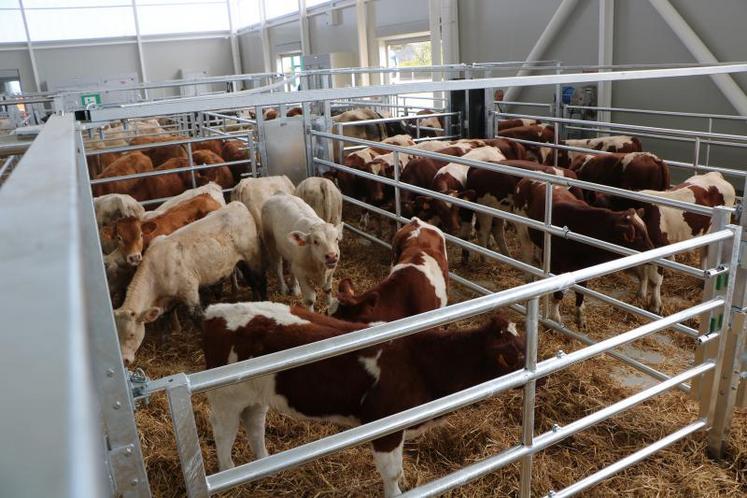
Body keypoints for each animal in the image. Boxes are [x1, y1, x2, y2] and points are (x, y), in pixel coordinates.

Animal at [109, 200, 264, 364]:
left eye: (131, 334)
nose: (125, 360)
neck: (156, 270)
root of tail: (236, 204)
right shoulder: (167, 299)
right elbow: (165, 317)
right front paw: (165, 341)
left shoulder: (189, 290)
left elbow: (197, 317)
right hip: (241, 261)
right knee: (252, 281)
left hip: (253, 255)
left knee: (260, 280)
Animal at [202, 304, 524, 498]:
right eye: (514, 356)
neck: (421, 360)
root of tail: (216, 310)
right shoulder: (385, 427)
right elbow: (392, 473)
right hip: (226, 398)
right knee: (224, 432)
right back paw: (228, 474)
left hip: (256, 395)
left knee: (254, 423)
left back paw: (263, 465)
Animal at [516, 178, 656, 326]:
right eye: (638, 236)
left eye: (646, 232)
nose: (653, 252)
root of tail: (525, 180)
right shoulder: (556, 264)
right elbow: (558, 294)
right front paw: (555, 318)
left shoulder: (583, 266)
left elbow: (581, 291)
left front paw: (580, 316)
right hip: (523, 230)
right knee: (527, 256)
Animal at [636, 171, 736, 312]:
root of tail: (714, 174)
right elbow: (642, 272)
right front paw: (640, 295)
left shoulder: (658, 247)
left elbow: (655, 280)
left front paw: (655, 306)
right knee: (704, 252)